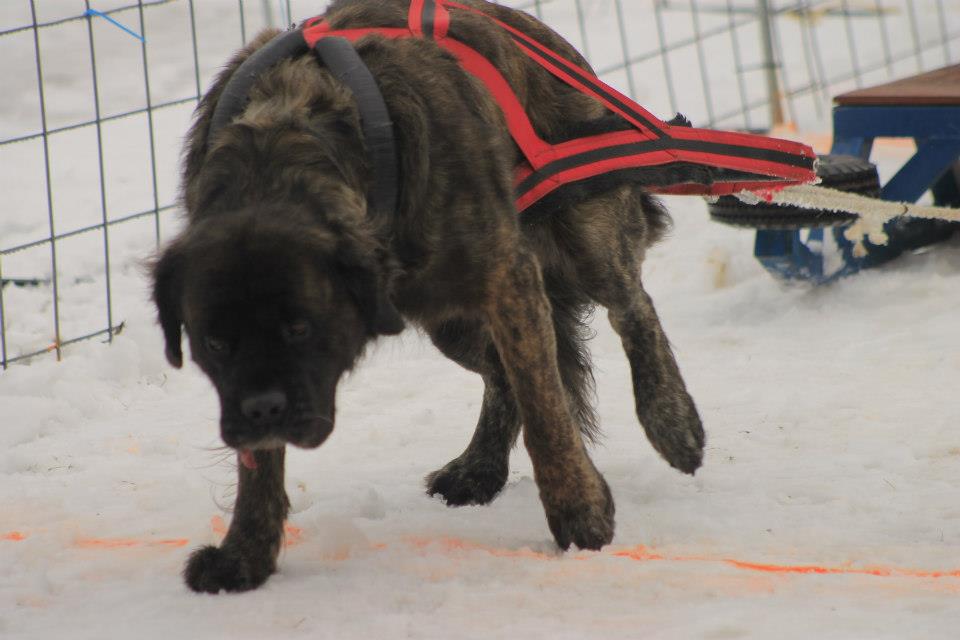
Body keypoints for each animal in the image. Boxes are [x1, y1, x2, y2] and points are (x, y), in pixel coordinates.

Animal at [152, 0, 704, 596]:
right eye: (214, 344)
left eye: (301, 328)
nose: (263, 412)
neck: (284, 144)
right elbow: (255, 466)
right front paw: (245, 555)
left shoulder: (508, 275)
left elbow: (545, 407)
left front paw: (579, 514)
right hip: (450, 320)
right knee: (499, 375)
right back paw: (479, 469)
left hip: (586, 232)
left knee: (631, 307)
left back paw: (673, 422)